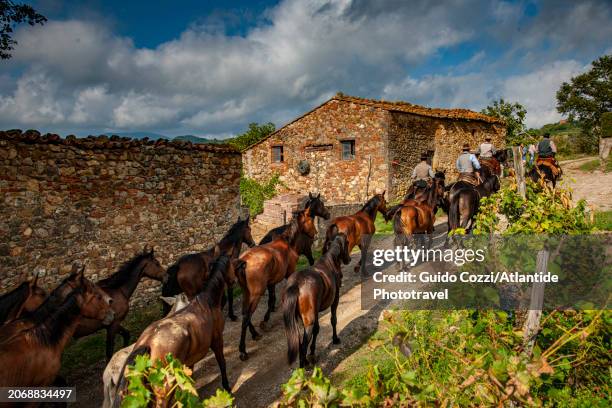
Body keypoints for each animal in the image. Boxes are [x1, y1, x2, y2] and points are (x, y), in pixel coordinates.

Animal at [113, 245, 240, 404]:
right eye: (231, 264)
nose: (234, 280)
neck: (207, 301)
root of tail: (147, 342)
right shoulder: (217, 340)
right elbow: (222, 363)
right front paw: (227, 387)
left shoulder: (189, 361)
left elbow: (190, 381)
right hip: (165, 388)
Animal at [238, 207, 318, 360]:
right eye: (311, 220)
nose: (315, 235)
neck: (288, 244)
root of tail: (244, 260)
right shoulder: (288, 275)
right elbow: (274, 299)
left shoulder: (271, 282)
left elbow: (272, 300)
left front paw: (265, 320)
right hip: (255, 294)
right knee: (246, 317)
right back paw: (243, 350)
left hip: (246, 292)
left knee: (245, 313)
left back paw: (255, 334)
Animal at [282, 231, 350, 368]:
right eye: (348, 242)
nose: (348, 259)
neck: (330, 262)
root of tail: (296, 284)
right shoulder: (335, 300)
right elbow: (333, 320)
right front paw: (335, 339)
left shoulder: (316, 311)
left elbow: (317, 330)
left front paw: (313, 353)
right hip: (309, 320)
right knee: (303, 345)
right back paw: (304, 366)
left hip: (297, 320)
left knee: (299, 342)